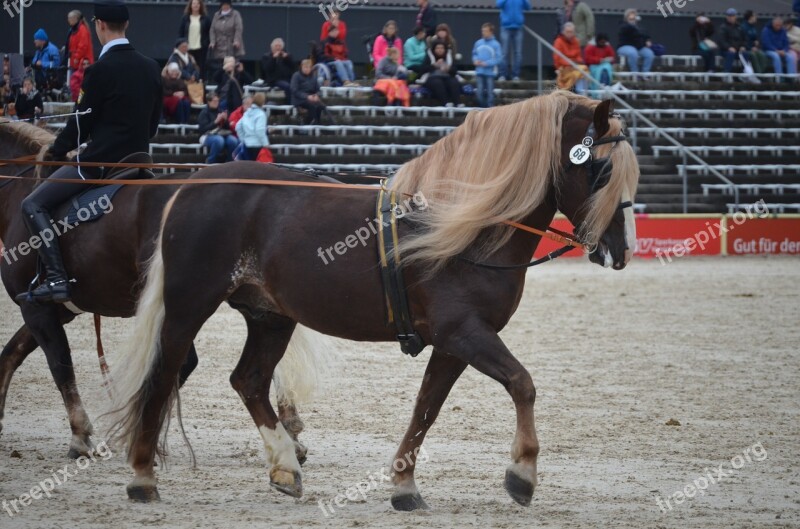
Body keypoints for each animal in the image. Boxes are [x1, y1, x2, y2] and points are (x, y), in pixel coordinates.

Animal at [1, 118, 322, 458]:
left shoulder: (36, 307)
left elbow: (59, 364)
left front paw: (80, 436)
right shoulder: (53, 309)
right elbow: (12, 354)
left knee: (181, 364)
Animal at [109, 93, 640, 510]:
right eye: (602, 170)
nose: (622, 251)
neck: (462, 227)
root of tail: (188, 186)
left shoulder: (454, 343)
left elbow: (427, 408)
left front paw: (404, 485)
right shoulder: (464, 334)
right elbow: (522, 384)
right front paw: (522, 474)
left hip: (270, 317)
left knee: (250, 381)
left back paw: (285, 466)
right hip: (187, 309)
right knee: (164, 376)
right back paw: (142, 476)